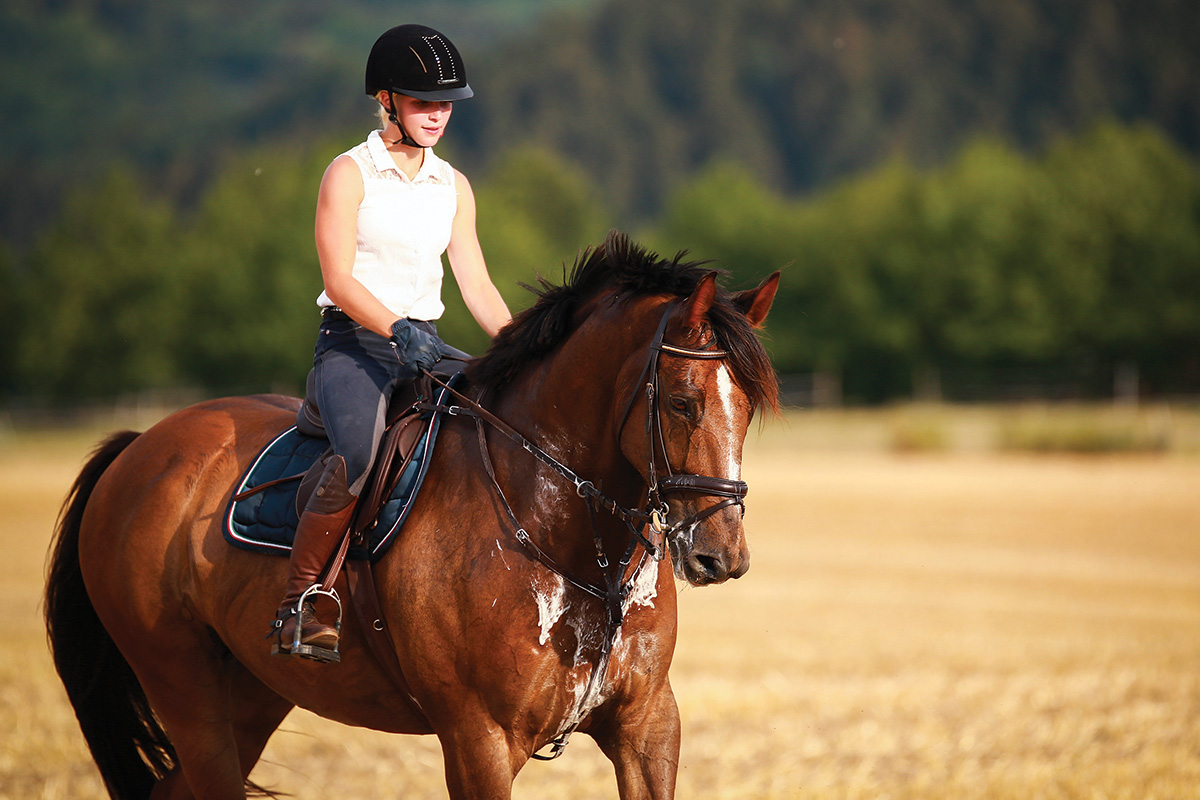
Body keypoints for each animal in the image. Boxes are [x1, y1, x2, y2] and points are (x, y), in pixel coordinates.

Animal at [44, 227, 777, 796]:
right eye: (682, 401)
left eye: (747, 407)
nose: (722, 555)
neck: (569, 541)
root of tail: (141, 446)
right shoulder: (479, 739)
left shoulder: (647, 725)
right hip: (183, 687)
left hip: (252, 692)